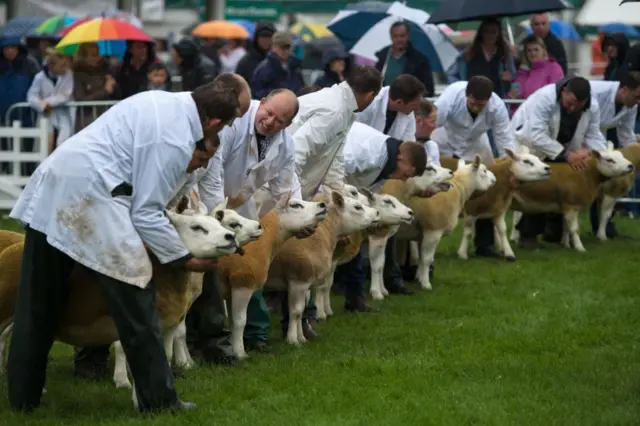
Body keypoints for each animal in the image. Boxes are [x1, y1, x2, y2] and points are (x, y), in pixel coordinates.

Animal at [215, 193, 328, 360]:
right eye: (295, 205)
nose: (322, 205)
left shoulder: (230, 291)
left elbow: (232, 322)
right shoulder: (242, 285)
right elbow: (240, 321)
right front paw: (240, 354)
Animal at [264, 190, 380, 346]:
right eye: (357, 207)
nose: (377, 212)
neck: (319, 238)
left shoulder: (305, 284)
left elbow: (302, 311)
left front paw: (302, 337)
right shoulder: (298, 281)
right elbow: (295, 312)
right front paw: (293, 340)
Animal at [398, 157, 498, 292]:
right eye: (484, 171)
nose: (495, 179)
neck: (458, 189)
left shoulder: (422, 233)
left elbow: (421, 258)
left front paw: (419, 277)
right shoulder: (433, 231)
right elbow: (427, 259)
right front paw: (426, 284)